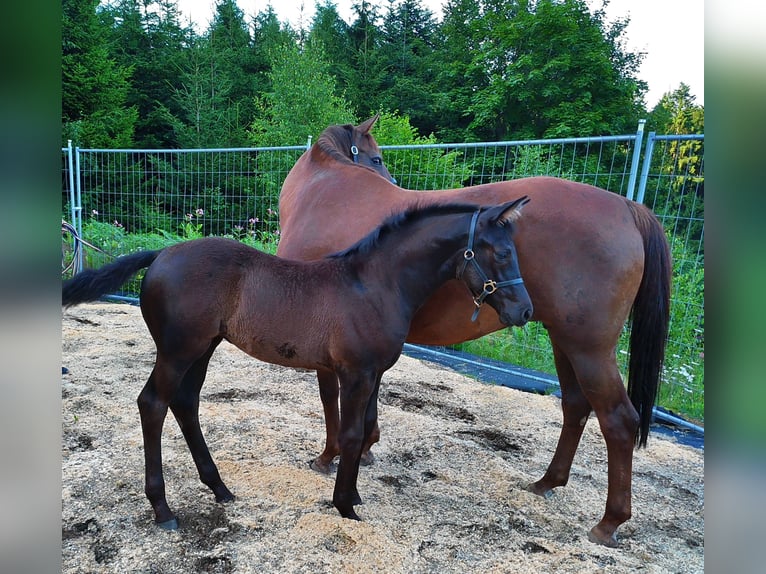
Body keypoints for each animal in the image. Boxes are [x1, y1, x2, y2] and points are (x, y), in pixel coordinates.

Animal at [62, 199, 533, 530]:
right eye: (501, 253)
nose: (525, 311)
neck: (374, 285)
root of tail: (161, 254)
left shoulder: (374, 373)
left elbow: (366, 429)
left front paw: (354, 496)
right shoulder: (356, 374)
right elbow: (351, 433)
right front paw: (345, 507)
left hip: (203, 347)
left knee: (186, 403)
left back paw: (219, 487)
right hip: (178, 350)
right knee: (153, 404)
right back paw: (163, 509)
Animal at [276, 115, 672, 547]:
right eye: (377, 158)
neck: (323, 192)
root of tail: (628, 207)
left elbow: (329, 398)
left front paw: (328, 456)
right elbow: (368, 403)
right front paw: (365, 449)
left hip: (589, 348)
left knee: (619, 420)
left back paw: (609, 521)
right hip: (565, 341)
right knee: (575, 406)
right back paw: (547, 482)